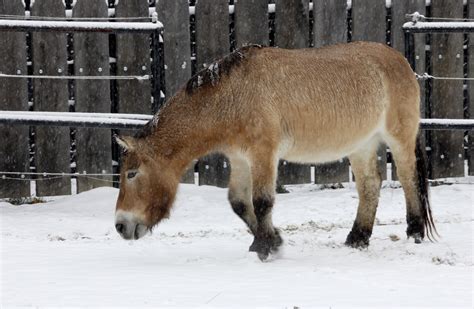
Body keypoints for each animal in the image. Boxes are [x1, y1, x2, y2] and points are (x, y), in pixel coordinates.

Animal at [114, 41, 436, 260]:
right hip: (361, 145)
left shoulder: (263, 154)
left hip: (399, 139)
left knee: (409, 181)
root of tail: (400, 60)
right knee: (370, 185)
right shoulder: (240, 159)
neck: (231, 97)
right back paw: (357, 238)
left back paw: (414, 233)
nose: (120, 226)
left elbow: (262, 201)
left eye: (132, 173)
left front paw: (266, 248)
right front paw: (271, 240)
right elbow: (239, 202)